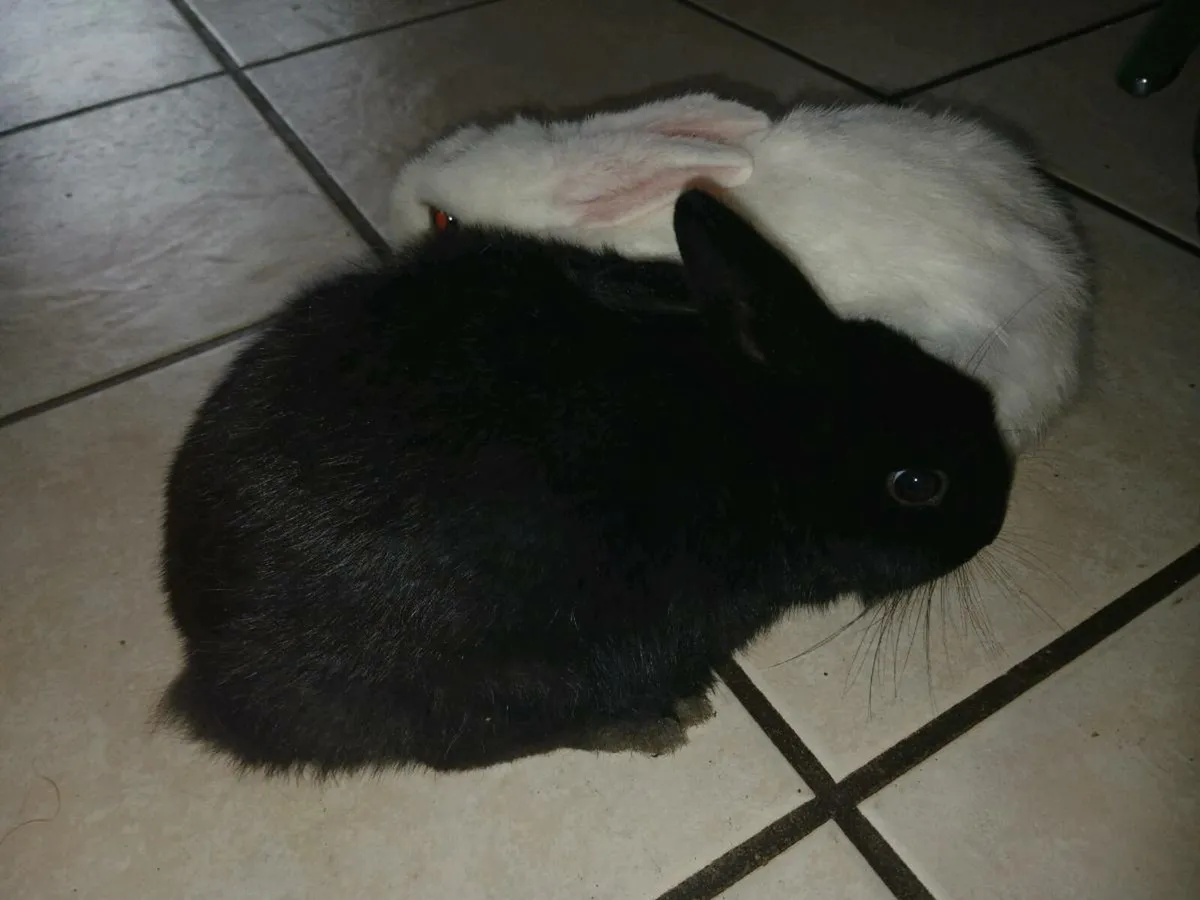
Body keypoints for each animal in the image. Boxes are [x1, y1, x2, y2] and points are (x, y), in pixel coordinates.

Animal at [160, 189, 1014, 775]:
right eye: (916, 483)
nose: (998, 512)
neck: (757, 443)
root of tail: (207, 659)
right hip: (488, 669)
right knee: (462, 742)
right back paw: (647, 721)